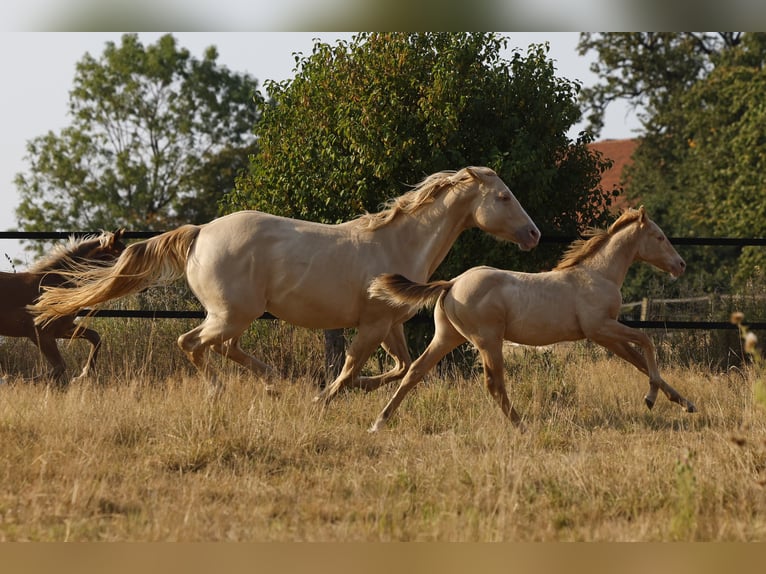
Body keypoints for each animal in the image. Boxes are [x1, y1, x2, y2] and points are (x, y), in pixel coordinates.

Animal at [1, 230, 126, 385]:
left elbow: (95, 337)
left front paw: (82, 375)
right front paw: (12, 380)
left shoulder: (62, 329)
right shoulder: (40, 333)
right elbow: (59, 366)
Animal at [29, 167, 540, 397]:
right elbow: (353, 364)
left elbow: (398, 366)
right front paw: (330, 394)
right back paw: (225, 390)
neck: (396, 243)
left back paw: (273, 382)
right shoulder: (373, 324)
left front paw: (356, 388)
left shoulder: (390, 324)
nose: (533, 234)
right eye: (503, 196)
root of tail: (199, 233)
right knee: (193, 343)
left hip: (236, 315)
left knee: (220, 347)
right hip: (232, 313)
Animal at [367, 206, 697, 431]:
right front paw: (651, 398)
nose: (681, 265)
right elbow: (647, 341)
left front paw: (685, 403)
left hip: (447, 336)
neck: (597, 274)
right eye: (659, 237)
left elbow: (639, 361)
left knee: (415, 371)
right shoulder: (601, 329)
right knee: (494, 383)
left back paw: (379, 422)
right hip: (488, 340)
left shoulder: (607, 336)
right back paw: (521, 425)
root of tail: (453, 284)